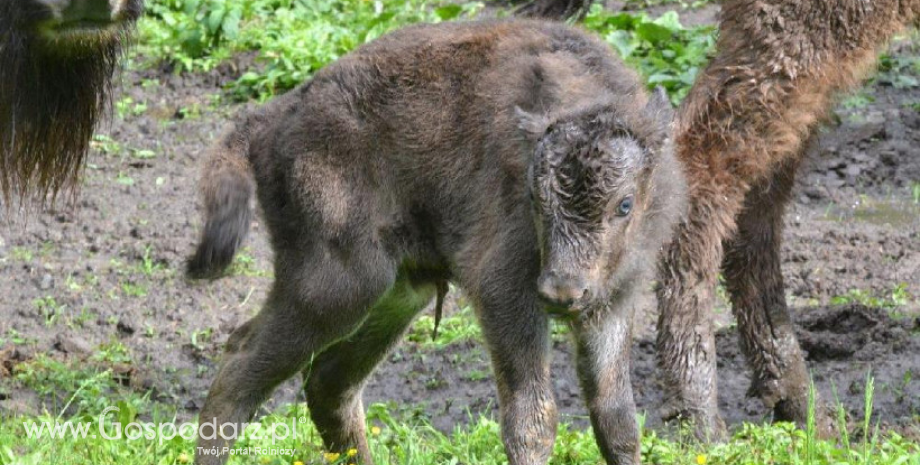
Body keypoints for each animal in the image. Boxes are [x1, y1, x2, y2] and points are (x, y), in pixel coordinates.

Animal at [189, 19, 684, 464]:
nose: (562, 293)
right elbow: (532, 419)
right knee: (241, 366)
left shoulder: (615, 301)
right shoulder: (506, 295)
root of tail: (271, 117)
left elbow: (617, 419)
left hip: (400, 293)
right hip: (337, 289)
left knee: (330, 384)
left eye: (624, 204)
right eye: (533, 197)